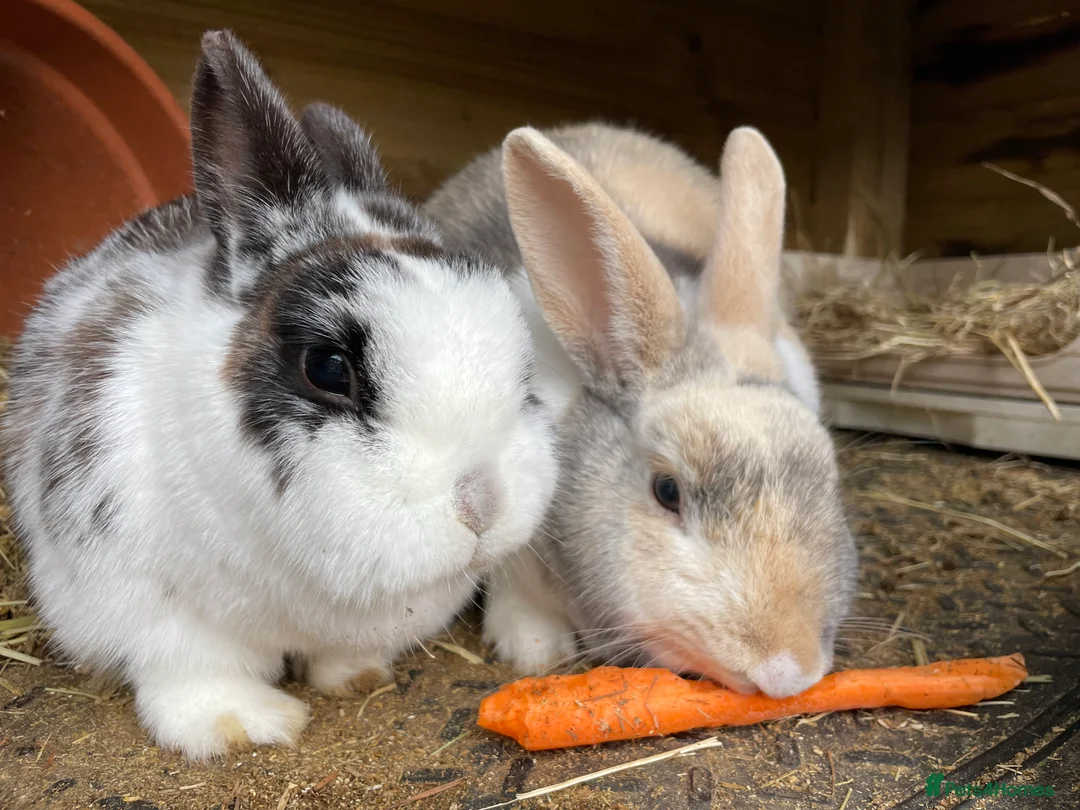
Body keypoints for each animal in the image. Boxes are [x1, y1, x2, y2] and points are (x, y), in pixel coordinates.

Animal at [0, 30, 557, 760]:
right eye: (327, 368)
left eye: (524, 364)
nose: (483, 504)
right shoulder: (146, 602)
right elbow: (193, 674)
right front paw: (243, 725)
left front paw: (356, 676)